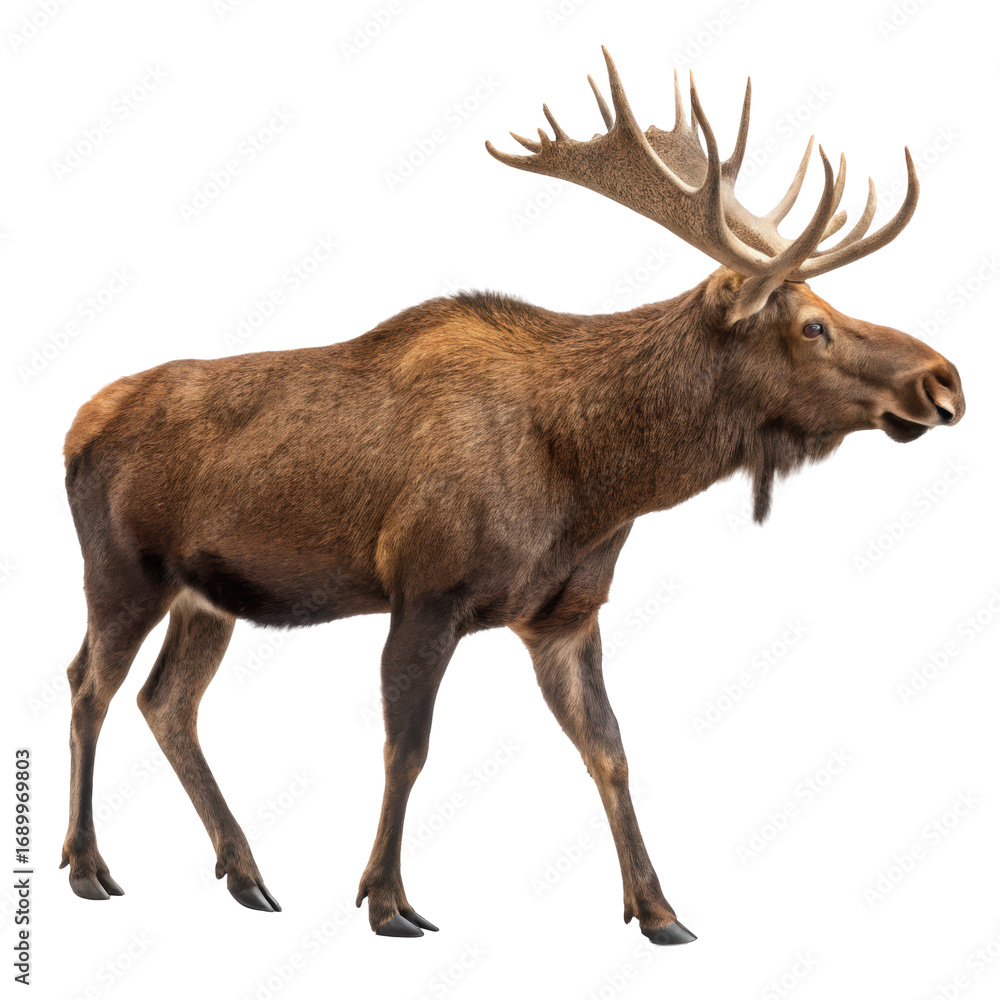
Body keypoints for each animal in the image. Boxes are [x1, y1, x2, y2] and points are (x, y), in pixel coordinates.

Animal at [60, 48, 964, 945]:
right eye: (812, 325)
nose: (944, 378)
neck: (595, 485)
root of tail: (72, 430)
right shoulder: (427, 592)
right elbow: (407, 750)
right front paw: (386, 900)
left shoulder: (565, 614)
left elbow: (610, 751)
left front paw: (659, 910)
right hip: (123, 572)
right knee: (88, 686)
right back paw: (87, 866)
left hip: (206, 596)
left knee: (166, 701)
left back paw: (245, 872)